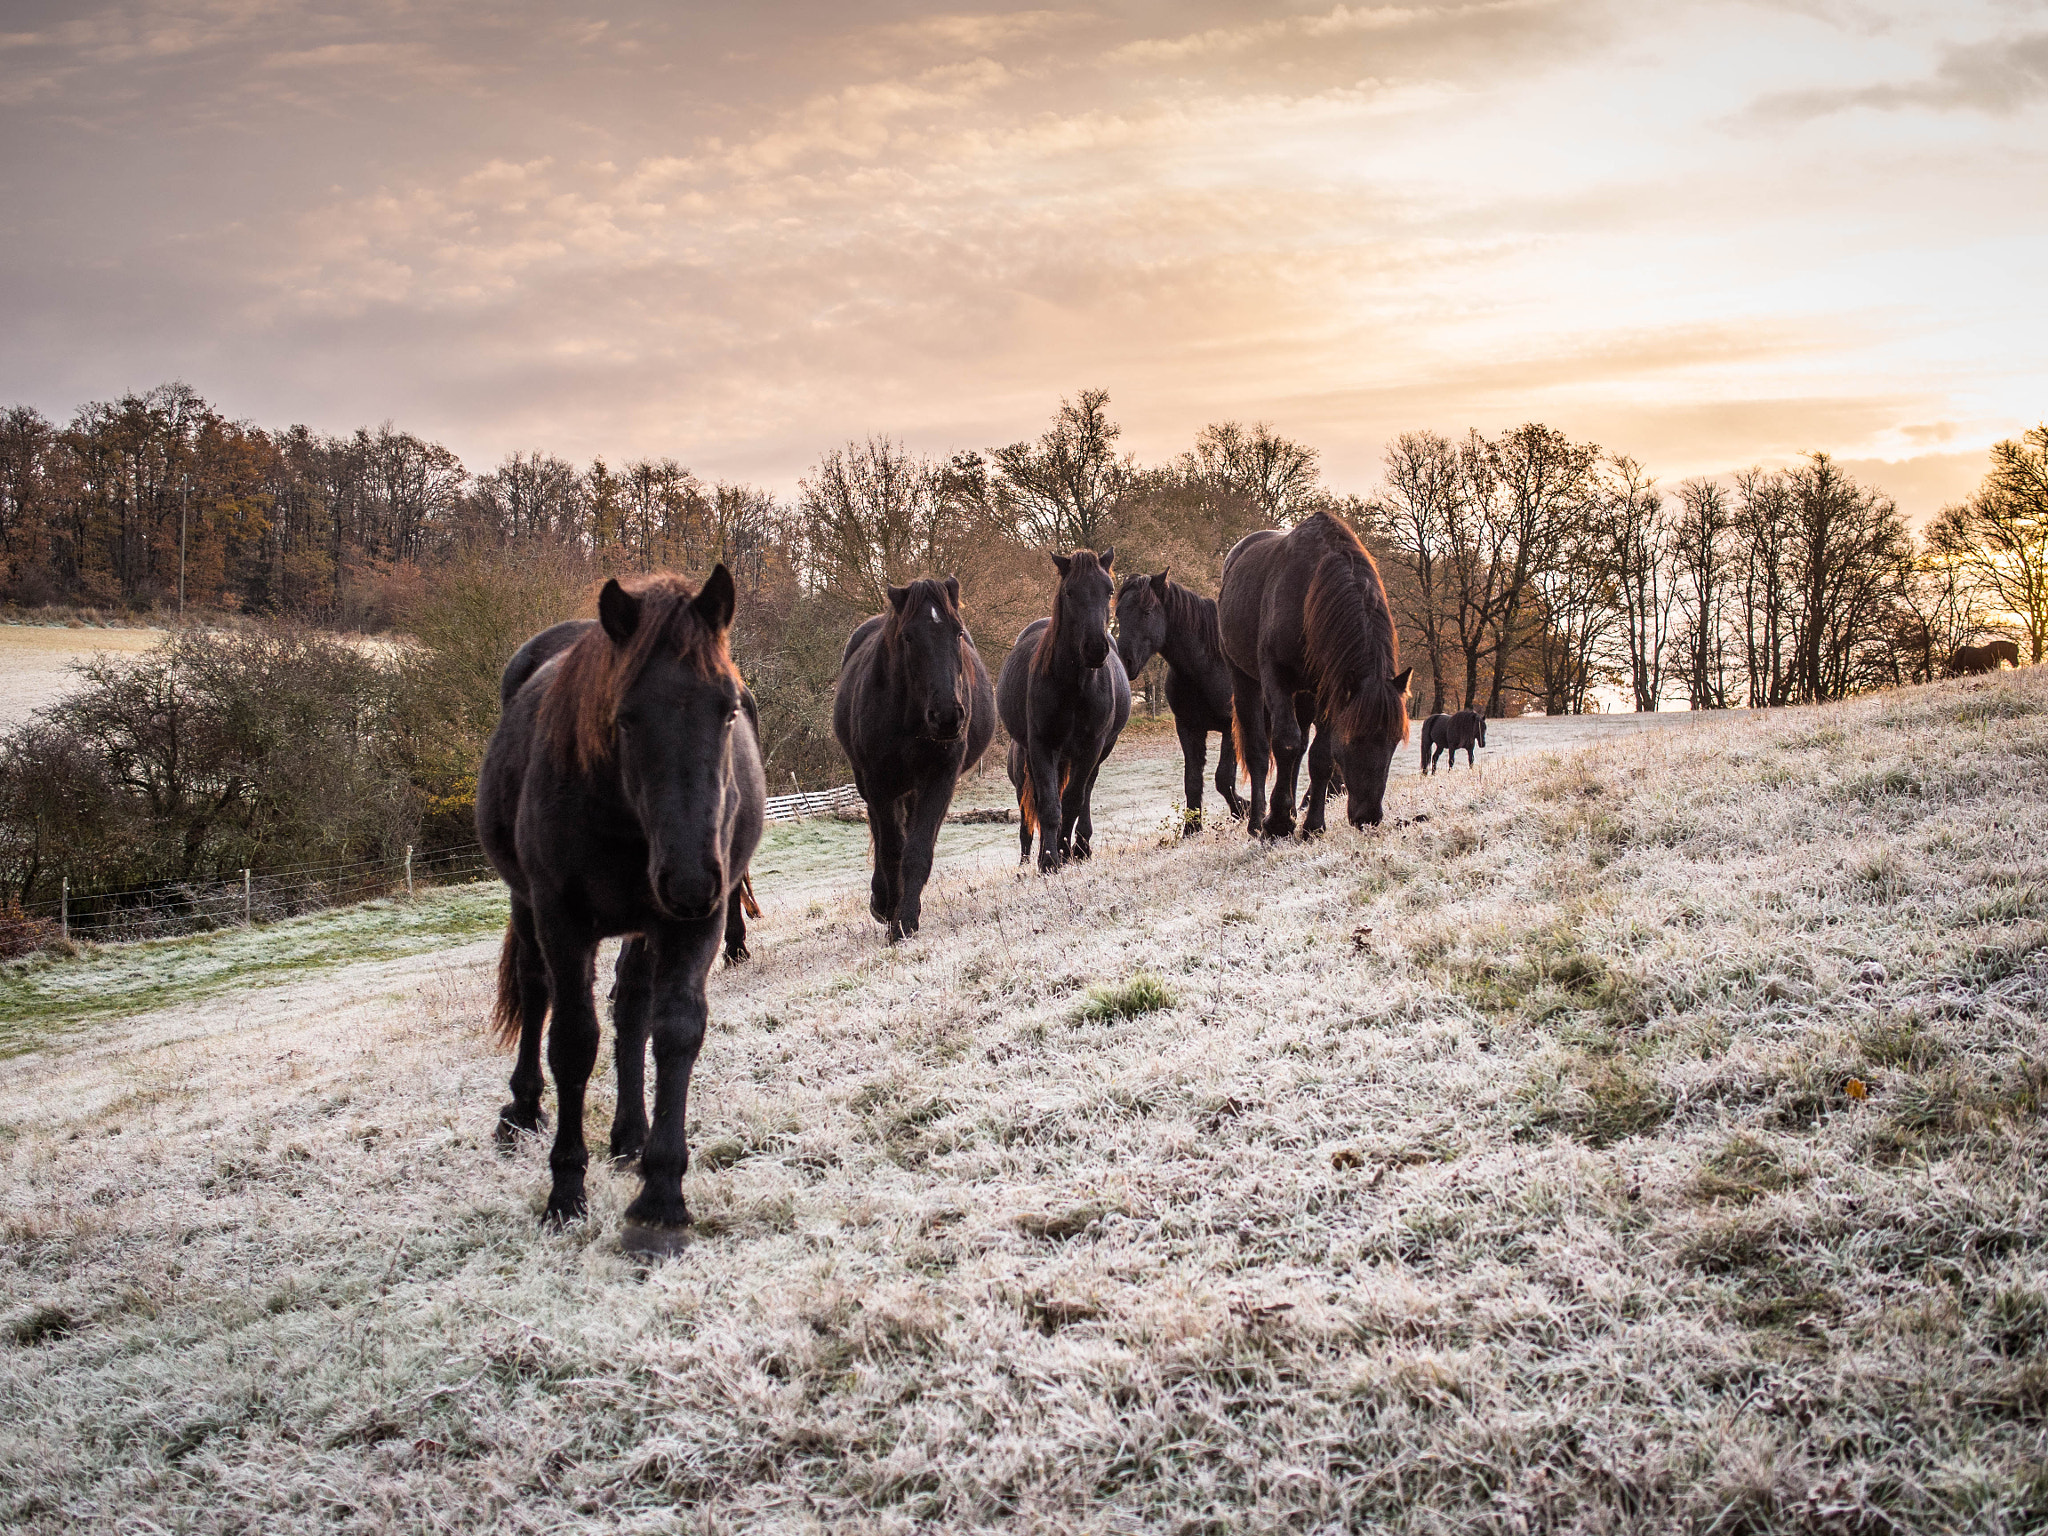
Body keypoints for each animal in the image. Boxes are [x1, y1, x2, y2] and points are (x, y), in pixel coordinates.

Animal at [475, 573, 765, 1253]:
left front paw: (661, 1197)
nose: (691, 878)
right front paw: (565, 1191)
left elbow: (676, 1031)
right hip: (529, 905)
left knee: (632, 1007)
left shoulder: (694, 925)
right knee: (535, 992)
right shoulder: (562, 922)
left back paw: (630, 1136)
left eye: (728, 710)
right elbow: (573, 1042)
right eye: (627, 718)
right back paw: (523, 1109)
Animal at [831, 573, 991, 946]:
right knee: (880, 833)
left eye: (957, 632)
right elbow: (891, 848)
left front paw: (905, 921)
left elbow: (916, 851)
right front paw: (889, 910)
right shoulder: (878, 783)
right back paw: (882, 900)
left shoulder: (939, 777)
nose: (947, 716)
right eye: (908, 636)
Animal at [995, 548, 1130, 872]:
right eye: (1070, 592)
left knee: (1085, 792)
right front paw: (1048, 860)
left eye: (1109, 590)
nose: (1096, 648)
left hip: (1099, 750)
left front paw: (1064, 852)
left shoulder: (1092, 746)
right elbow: (1049, 805)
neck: (1075, 686)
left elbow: (1072, 801)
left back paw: (1079, 846)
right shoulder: (1042, 745)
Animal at [1122, 565, 1245, 831]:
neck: (1208, 666)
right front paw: (1191, 829)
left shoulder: (1232, 726)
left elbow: (1223, 779)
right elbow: (1193, 780)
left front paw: (1244, 809)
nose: (1125, 661)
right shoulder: (1189, 728)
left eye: (1147, 612)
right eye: (1118, 612)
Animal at [1212, 512, 1409, 835]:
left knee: (1300, 747)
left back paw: (1291, 812)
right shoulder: (1276, 677)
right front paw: (1277, 823)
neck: (1309, 592)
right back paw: (1257, 821)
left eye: (1394, 741)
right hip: (1244, 679)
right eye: (1354, 739)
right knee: (1259, 750)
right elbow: (1284, 742)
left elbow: (1320, 757)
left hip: (1305, 694)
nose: (1368, 818)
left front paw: (1312, 826)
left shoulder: (1329, 690)